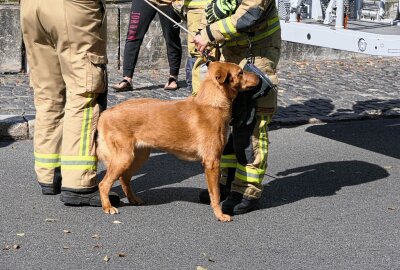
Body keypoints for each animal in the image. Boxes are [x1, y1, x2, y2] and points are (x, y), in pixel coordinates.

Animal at [96, 61, 260, 221]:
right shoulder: (212, 162)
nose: (259, 77)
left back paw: (133, 199)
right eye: (240, 72)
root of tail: (106, 113)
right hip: (124, 158)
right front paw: (219, 215)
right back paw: (107, 207)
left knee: (124, 178)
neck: (212, 104)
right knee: (103, 184)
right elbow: (216, 195)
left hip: (138, 156)